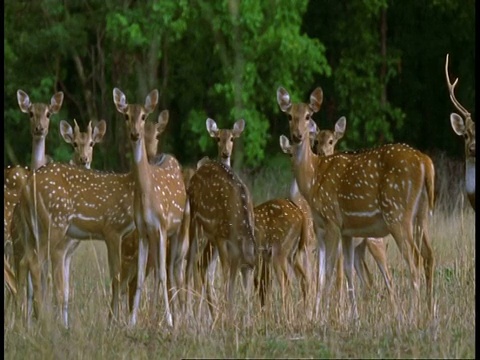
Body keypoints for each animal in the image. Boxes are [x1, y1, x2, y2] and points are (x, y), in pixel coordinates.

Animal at [112, 88, 188, 328]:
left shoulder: (162, 226)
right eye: (126, 116)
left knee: (172, 270)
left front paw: (170, 320)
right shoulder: (143, 230)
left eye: (144, 116)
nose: (135, 134)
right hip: (156, 235)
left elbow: (162, 275)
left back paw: (175, 314)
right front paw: (132, 321)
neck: (147, 198)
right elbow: (140, 277)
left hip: (176, 229)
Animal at [276, 86, 436, 320]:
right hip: (422, 214)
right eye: (289, 116)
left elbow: (330, 273)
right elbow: (329, 275)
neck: (313, 179)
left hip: (397, 212)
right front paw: (340, 317)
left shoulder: (333, 220)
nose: (297, 136)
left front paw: (326, 318)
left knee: (414, 259)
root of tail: (426, 162)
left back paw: (410, 317)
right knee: (428, 255)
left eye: (308, 116)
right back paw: (428, 312)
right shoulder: (334, 229)